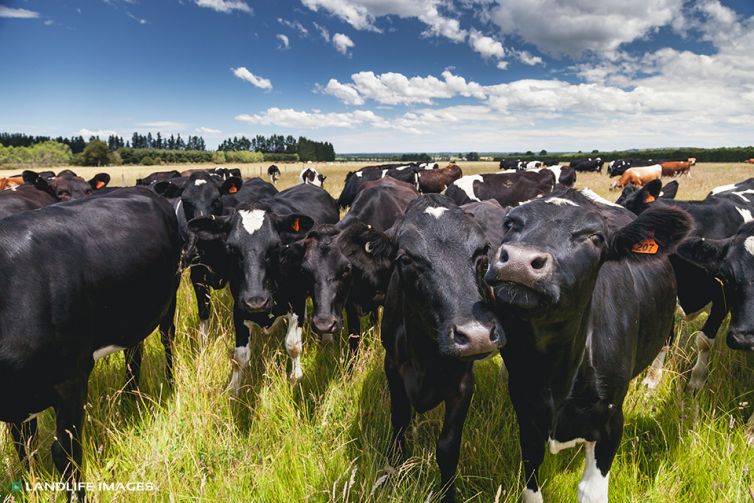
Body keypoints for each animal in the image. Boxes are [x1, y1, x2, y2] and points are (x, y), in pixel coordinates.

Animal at [0, 188, 181, 500]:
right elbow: (24, 446)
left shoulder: (71, 376)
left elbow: (65, 453)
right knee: (134, 353)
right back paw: (129, 398)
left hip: (172, 295)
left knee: (167, 339)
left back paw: (169, 383)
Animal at [187, 185, 336, 390]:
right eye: (231, 247)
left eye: (275, 246)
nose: (256, 301)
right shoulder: (240, 307)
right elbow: (240, 357)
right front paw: (233, 389)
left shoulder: (297, 301)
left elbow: (293, 345)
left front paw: (295, 378)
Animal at [382, 194, 500, 503]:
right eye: (405, 258)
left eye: (482, 252)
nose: (477, 335)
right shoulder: (392, 367)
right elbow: (399, 422)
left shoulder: (463, 383)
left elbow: (447, 448)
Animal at [484, 190, 692, 503]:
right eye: (510, 223)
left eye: (596, 238)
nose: (519, 261)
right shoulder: (526, 411)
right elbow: (531, 486)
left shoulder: (610, 421)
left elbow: (591, 492)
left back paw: (651, 384)